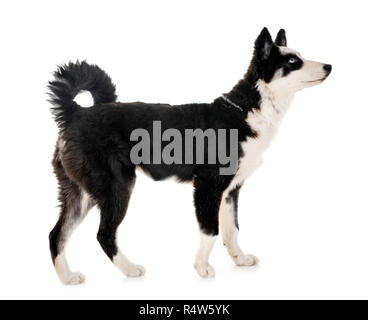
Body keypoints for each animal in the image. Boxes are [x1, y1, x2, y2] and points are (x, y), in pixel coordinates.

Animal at [47, 26, 332, 282]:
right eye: (293, 61)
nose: (329, 66)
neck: (244, 110)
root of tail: (77, 112)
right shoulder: (208, 186)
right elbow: (211, 230)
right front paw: (202, 267)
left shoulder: (231, 190)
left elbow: (232, 229)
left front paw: (239, 259)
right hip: (116, 187)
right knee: (104, 234)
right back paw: (129, 270)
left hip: (79, 193)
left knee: (56, 234)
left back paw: (67, 277)